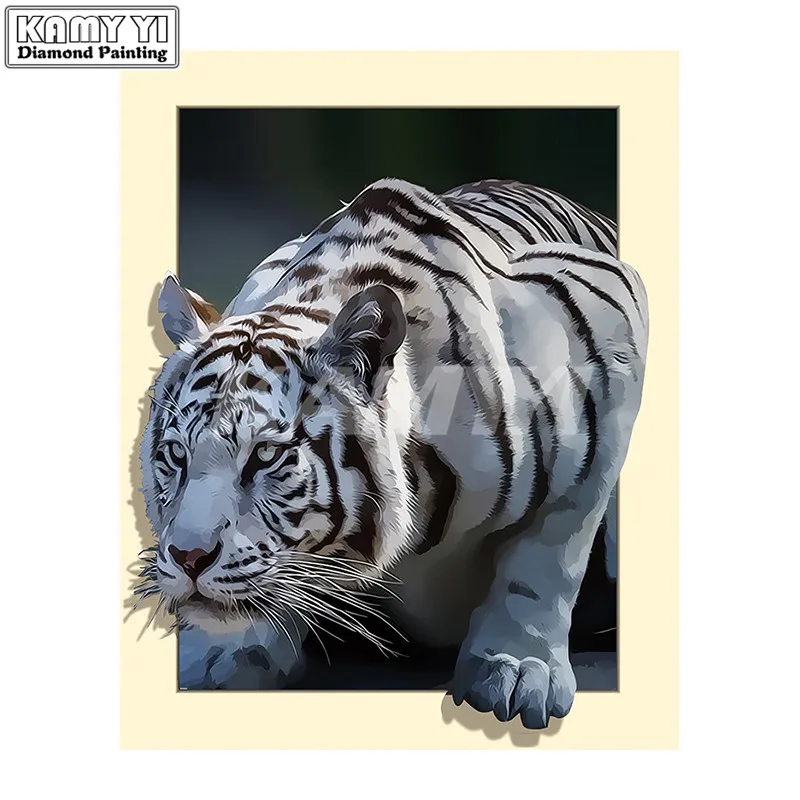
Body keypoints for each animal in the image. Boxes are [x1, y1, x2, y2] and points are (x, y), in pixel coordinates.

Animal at [138, 177, 648, 728]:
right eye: (176, 455)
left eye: (266, 455)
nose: (188, 558)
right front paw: (224, 650)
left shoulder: (610, 329)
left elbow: (550, 551)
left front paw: (515, 667)